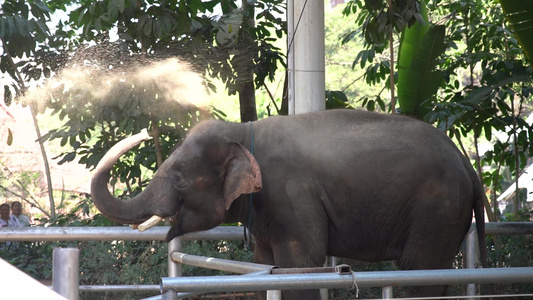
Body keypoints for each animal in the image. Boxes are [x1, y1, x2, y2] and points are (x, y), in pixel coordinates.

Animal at [90, 109, 486, 298]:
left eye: (179, 178)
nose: (143, 131)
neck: (243, 130)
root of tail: (467, 163)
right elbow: (264, 266)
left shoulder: (292, 194)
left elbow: (301, 266)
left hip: (438, 209)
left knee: (421, 271)